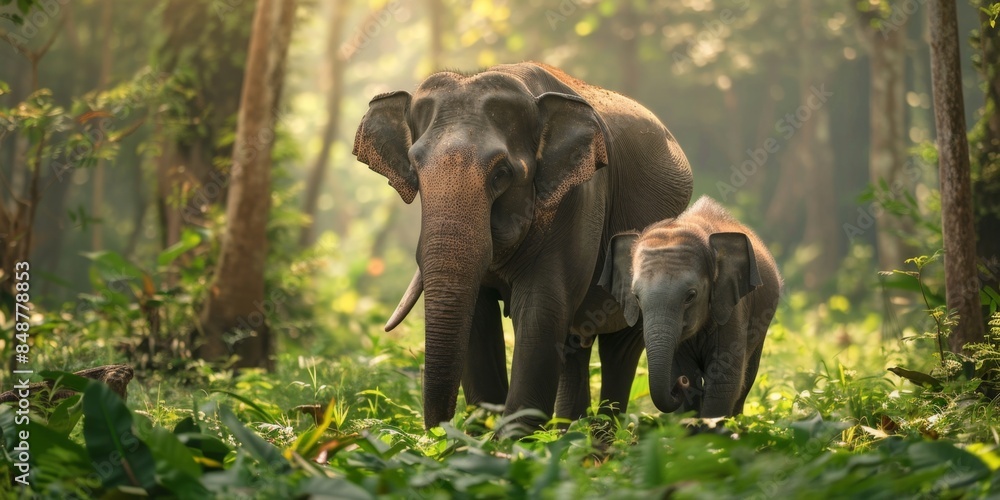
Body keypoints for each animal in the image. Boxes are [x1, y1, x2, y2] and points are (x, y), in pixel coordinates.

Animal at [353, 62, 693, 430]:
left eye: (501, 174)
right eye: (415, 169)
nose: (438, 431)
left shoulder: (579, 199)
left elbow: (540, 312)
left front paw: (512, 440)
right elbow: (480, 318)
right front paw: (481, 435)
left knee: (620, 348)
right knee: (575, 343)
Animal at [599, 196, 781, 417]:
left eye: (691, 296)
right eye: (636, 297)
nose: (680, 384)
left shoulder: (731, 309)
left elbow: (723, 383)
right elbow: (687, 379)